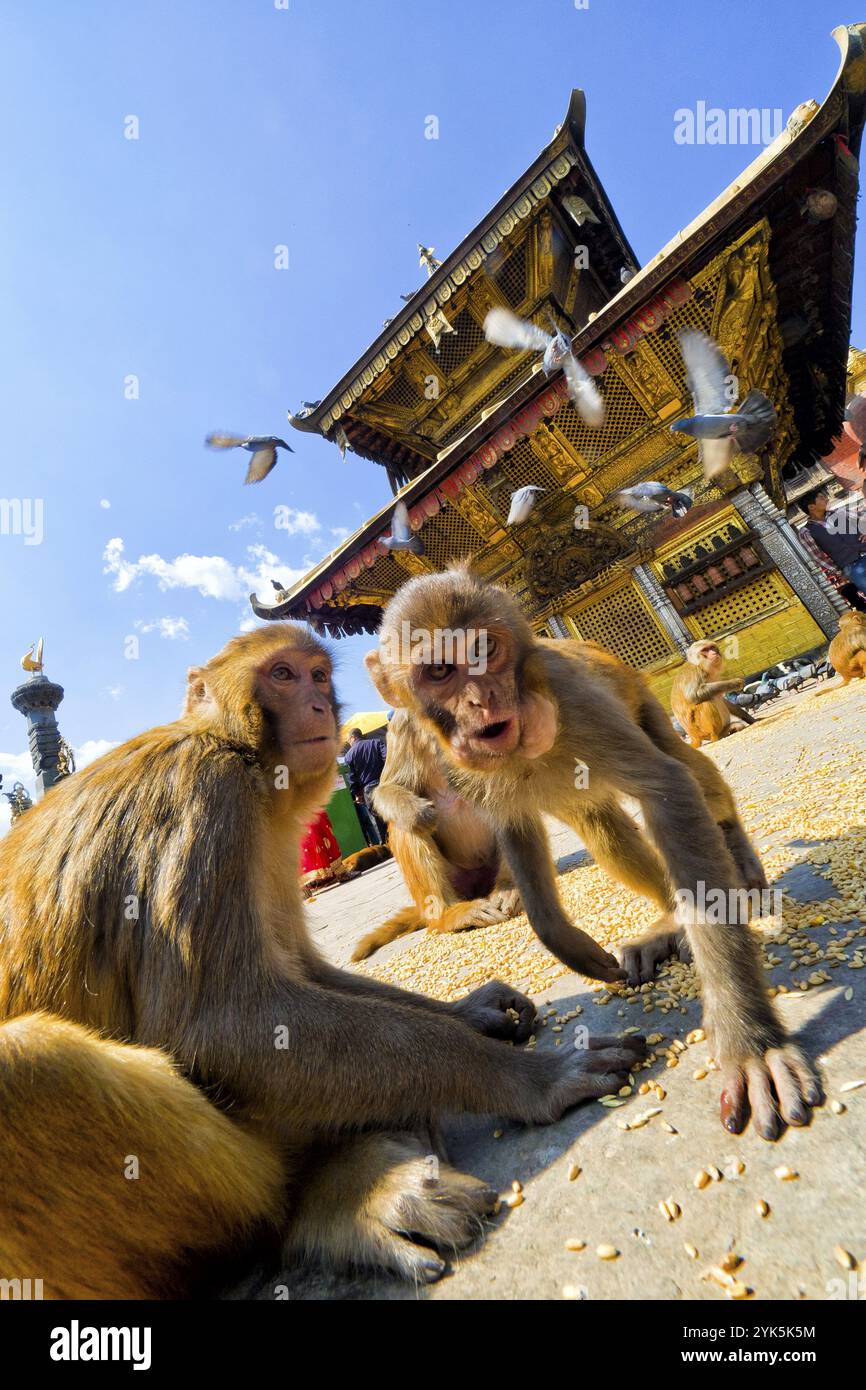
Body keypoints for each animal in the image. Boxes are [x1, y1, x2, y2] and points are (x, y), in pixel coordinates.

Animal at [350, 711, 522, 961]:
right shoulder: (403, 722)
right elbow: (389, 788)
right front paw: (419, 814)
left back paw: (509, 887)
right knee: (406, 826)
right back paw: (448, 914)